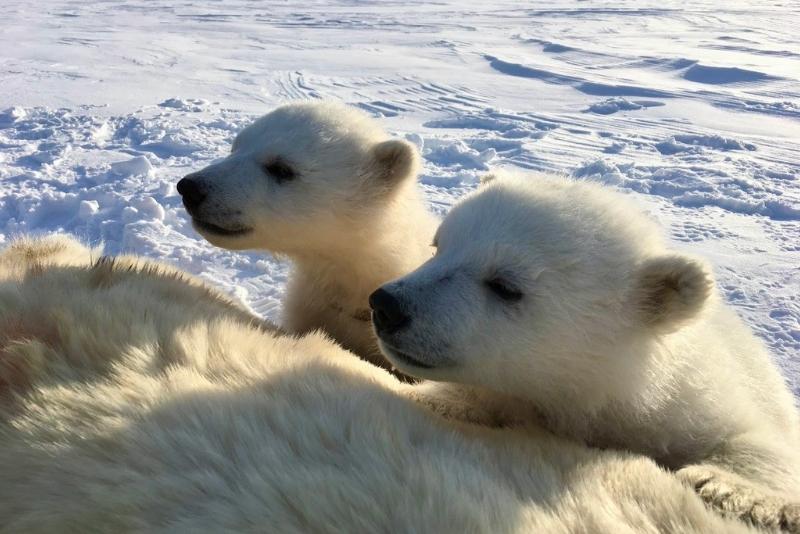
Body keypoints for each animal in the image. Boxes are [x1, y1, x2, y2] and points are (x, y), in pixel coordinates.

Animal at [370, 172, 800, 532]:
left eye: (505, 286)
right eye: (437, 246)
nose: (387, 305)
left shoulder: (698, 401)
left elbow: (760, 442)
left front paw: (722, 486)